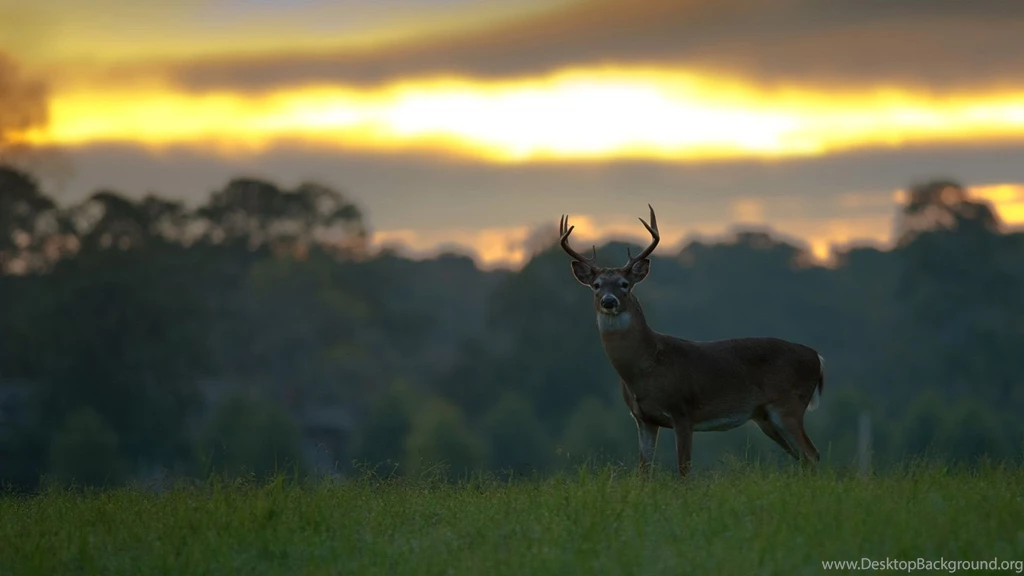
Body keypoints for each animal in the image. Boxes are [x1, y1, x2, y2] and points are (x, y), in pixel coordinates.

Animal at [558, 204, 825, 478]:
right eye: (596, 285)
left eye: (624, 284)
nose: (608, 301)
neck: (647, 366)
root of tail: (817, 357)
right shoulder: (643, 419)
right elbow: (643, 472)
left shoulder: (683, 411)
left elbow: (683, 472)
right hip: (765, 417)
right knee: (805, 458)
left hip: (788, 405)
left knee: (813, 454)